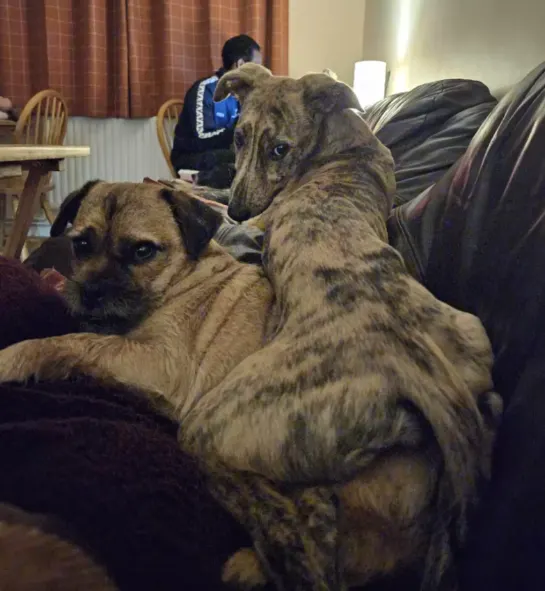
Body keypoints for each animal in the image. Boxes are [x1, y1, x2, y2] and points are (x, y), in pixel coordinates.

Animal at [178, 63, 502, 588]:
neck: (343, 142)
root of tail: (421, 369)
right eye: (240, 137)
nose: (241, 212)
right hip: (472, 345)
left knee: (291, 537)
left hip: (214, 424)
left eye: (280, 149)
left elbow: (212, 200)